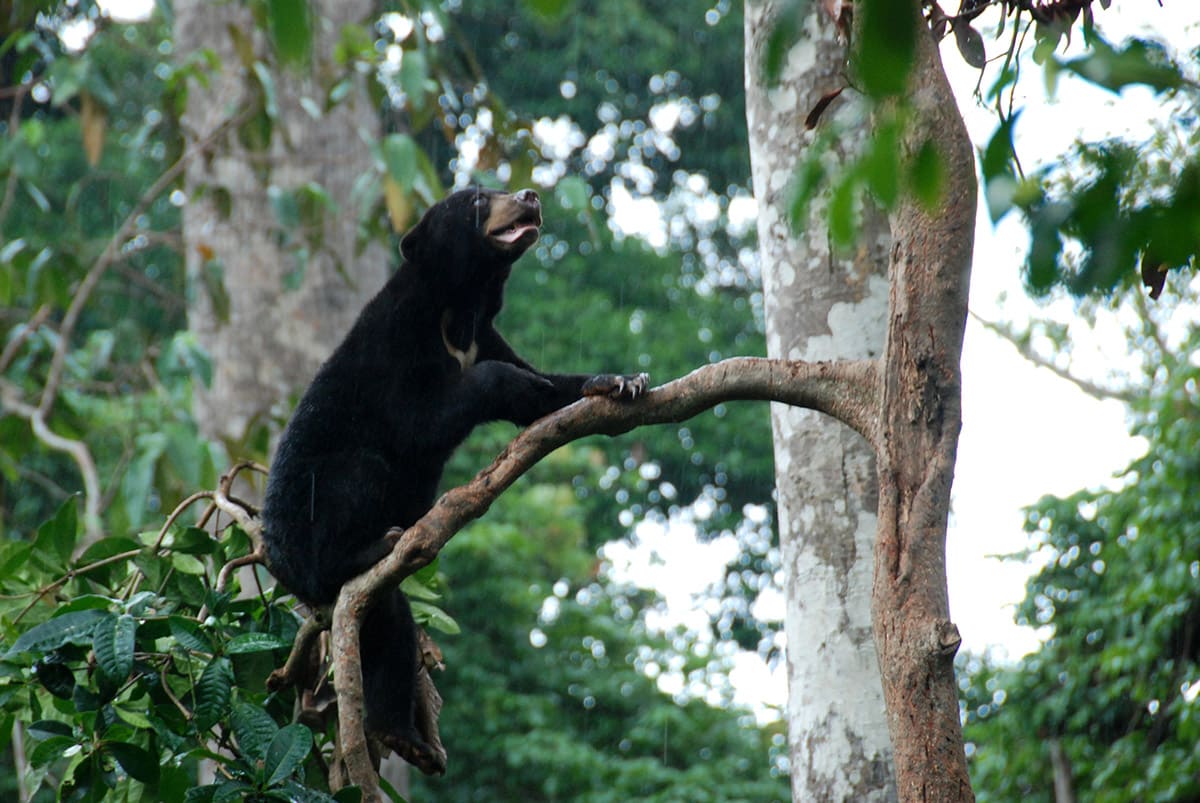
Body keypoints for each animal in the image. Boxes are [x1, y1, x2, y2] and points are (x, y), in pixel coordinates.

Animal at [261, 184, 648, 772]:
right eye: (477, 200)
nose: (530, 194)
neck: (461, 305)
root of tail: (281, 568)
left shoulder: (484, 334)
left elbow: (548, 386)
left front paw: (619, 381)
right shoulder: (398, 340)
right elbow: (420, 420)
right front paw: (514, 384)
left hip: (368, 603)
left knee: (389, 633)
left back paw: (405, 738)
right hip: (312, 516)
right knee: (359, 477)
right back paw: (373, 547)